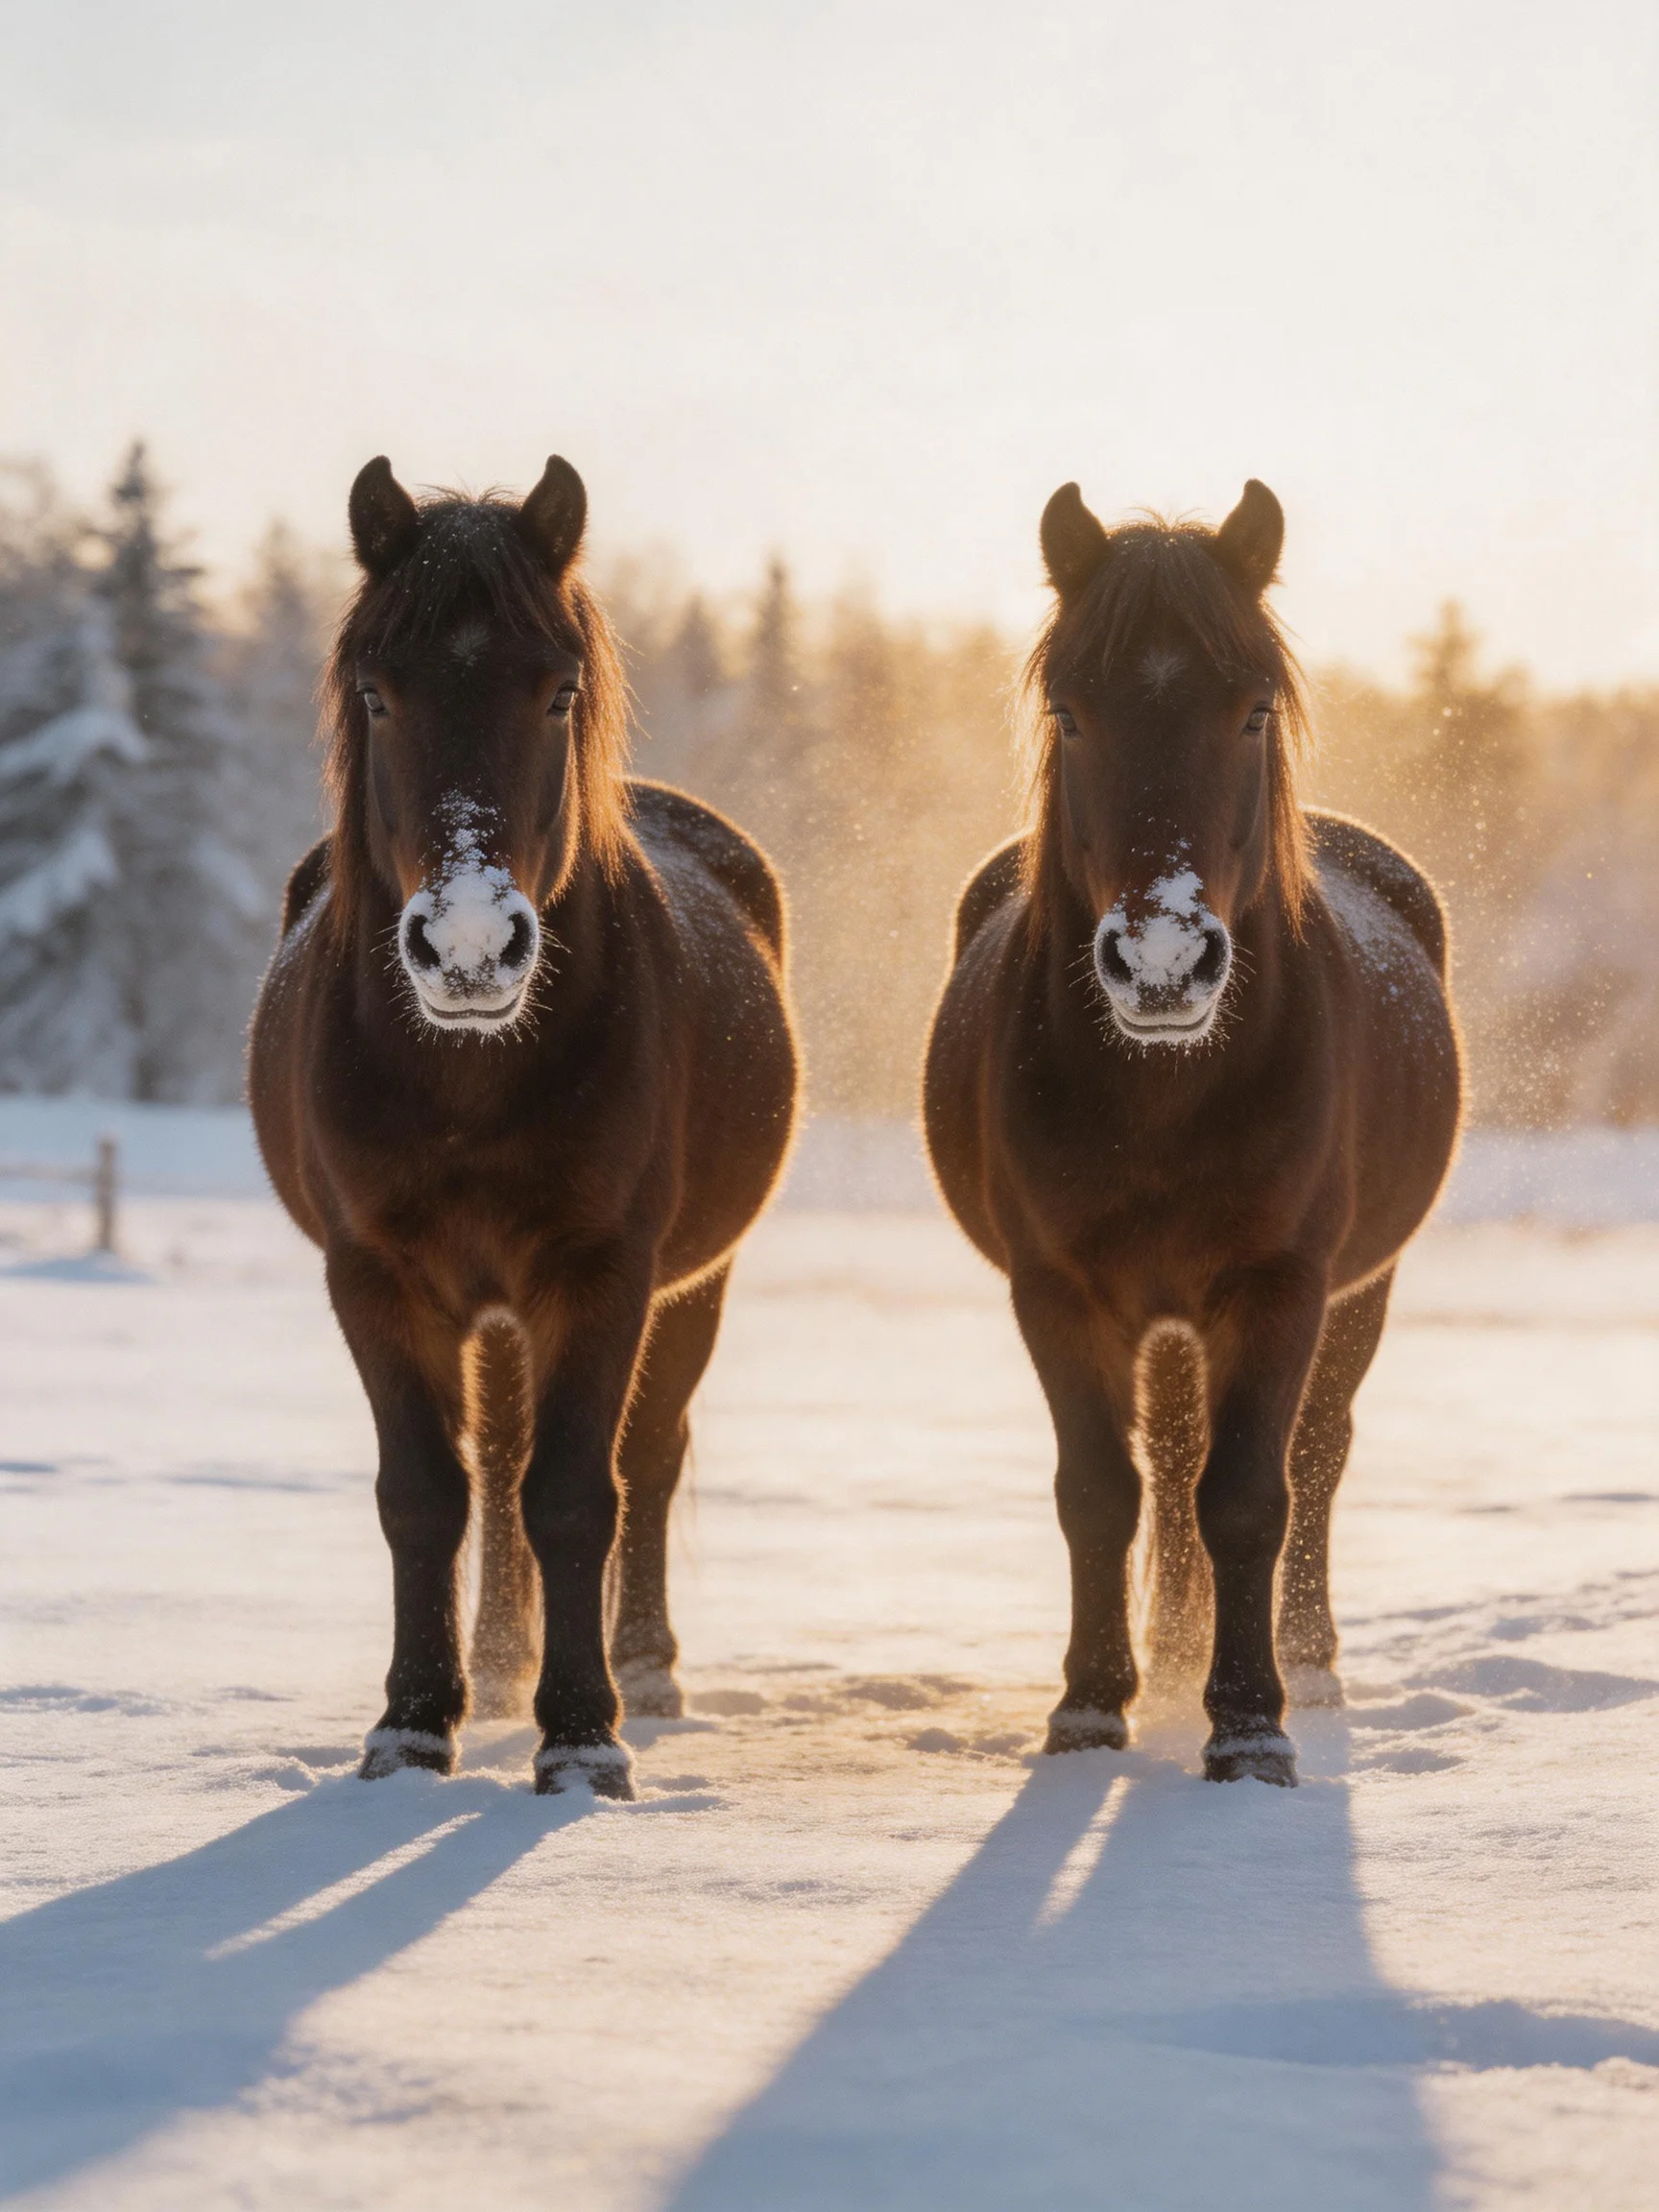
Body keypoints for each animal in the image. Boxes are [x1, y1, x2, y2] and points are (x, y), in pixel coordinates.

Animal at [250, 455, 797, 1798]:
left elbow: (576, 1495)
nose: (467, 948)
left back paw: (644, 1671)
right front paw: (411, 1726)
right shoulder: (376, 1276)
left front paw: (586, 1737)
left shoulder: (604, 1272)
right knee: (495, 1464)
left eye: (557, 694)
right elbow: (426, 1495)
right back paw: (499, 1665)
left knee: (647, 1454)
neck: (469, 1081)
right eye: (377, 693)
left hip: (689, 1284)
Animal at [923, 479, 1461, 1786]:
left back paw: (1307, 1664)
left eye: (1252, 708)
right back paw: (1170, 1658)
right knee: (1169, 1461)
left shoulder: (1282, 1284)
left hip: (1357, 1290)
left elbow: (1252, 1497)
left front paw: (1253, 1728)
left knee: (1316, 1454)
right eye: (1069, 712)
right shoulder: (1058, 1290)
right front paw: (1090, 1710)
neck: (1166, 1093)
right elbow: (1100, 1493)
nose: (1163, 961)